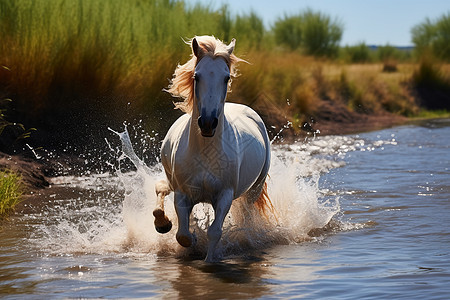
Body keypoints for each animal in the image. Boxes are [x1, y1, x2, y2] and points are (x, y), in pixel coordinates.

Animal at [153, 34, 272, 260]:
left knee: (248, 216)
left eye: (226, 78)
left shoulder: (224, 196)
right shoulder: (183, 194)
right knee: (161, 188)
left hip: (253, 190)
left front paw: (209, 259)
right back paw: (162, 223)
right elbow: (182, 235)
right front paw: (192, 238)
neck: (206, 153)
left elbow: (214, 232)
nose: (208, 123)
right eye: (196, 76)